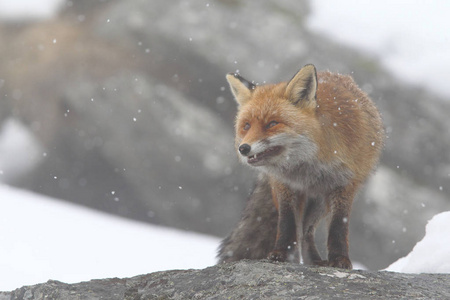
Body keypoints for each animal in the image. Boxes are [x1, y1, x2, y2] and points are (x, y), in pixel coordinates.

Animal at [218, 63, 384, 270]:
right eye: (246, 126)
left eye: (272, 123)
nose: (243, 148)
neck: (307, 168)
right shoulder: (284, 185)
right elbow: (287, 224)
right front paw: (281, 254)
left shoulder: (344, 185)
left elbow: (338, 226)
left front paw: (339, 259)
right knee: (299, 230)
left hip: (320, 201)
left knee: (306, 230)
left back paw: (315, 260)